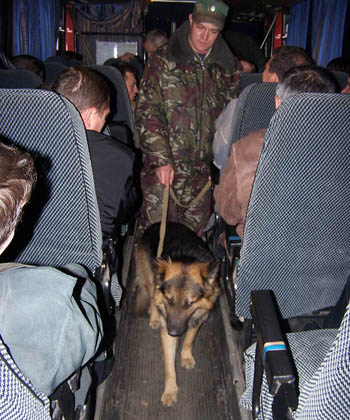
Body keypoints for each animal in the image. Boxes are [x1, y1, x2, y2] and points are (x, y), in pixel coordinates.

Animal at [133, 221, 219, 406]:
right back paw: (154, 317)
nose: (173, 332)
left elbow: (189, 340)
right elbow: (169, 365)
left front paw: (186, 356)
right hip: (151, 279)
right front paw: (170, 391)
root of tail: (155, 225)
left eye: (189, 303)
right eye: (169, 300)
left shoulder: (199, 317)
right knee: (152, 297)